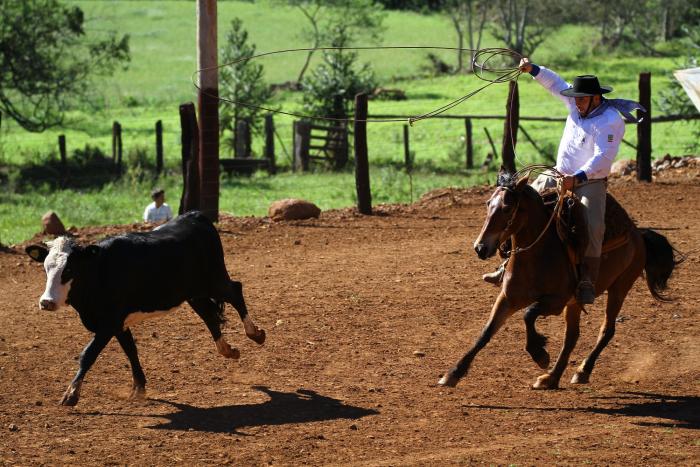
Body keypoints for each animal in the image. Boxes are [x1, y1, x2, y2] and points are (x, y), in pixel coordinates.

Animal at [26, 212, 264, 406]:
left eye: (69, 270)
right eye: (46, 268)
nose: (46, 302)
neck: (100, 271)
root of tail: (196, 216)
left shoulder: (109, 323)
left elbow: (88, 354)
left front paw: (71, 394)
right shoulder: (119, 325)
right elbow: (131, 350)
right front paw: (139, 387)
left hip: (214, 279)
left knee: (235, 291)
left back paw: (255, 333)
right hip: (194, 293)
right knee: (209, 315)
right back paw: (228, 349)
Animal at [438, 170, 680, 390]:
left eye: (507, 208)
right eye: (488, 203)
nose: (480, 248)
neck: (536, 256)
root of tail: (638, 234)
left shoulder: (556, 301)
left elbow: (529, 314)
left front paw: (540, 354)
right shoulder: (507, 298)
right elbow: (485, 333)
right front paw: (453, 374)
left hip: (619, 288)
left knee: (606, 330)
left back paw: (582, 371)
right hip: (576, 303)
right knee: (572, 336)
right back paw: (551, 378)